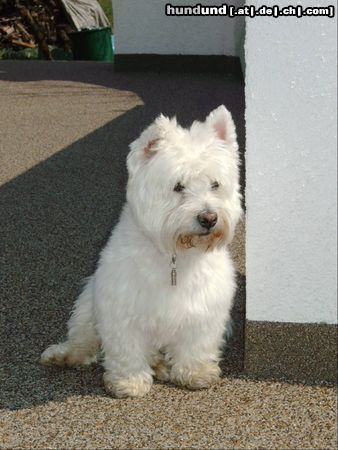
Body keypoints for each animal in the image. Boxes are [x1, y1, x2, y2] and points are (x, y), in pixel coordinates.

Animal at [41, 105, 242, 398]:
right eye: (178, 186)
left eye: (215, 184)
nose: (209, 218)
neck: (174, 255)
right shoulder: (121, 307)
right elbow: (126, 348)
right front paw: (129, 382)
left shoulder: (204, 309)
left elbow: (196, 345)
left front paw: (195, 373)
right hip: (88, 300)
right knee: (83, 335)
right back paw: (66, 354)